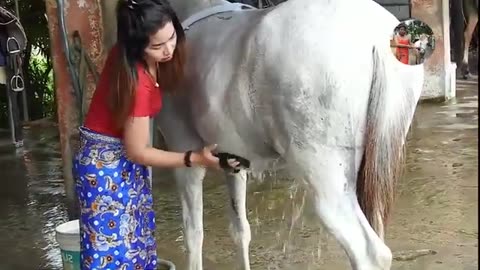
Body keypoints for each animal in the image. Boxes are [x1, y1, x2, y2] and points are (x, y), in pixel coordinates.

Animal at [98, 0, 424, 270]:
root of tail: (375, 40)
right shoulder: (232, 158)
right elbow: (240, 229)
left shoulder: (184, 149)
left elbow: (193, 233)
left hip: (326, 173)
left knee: (369, 252)